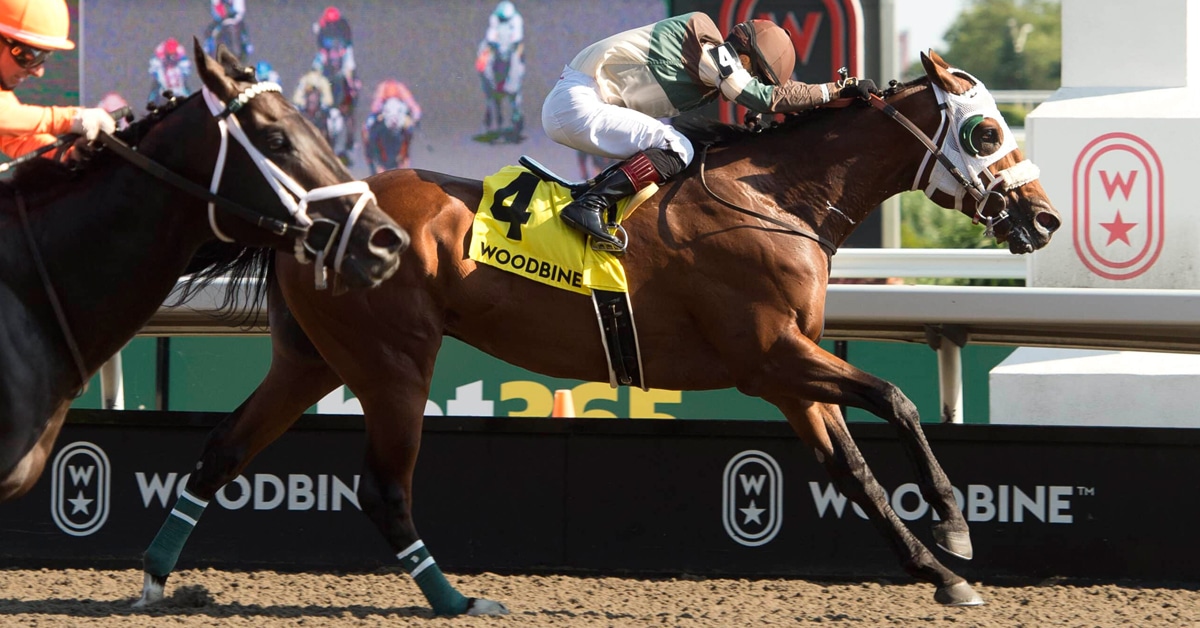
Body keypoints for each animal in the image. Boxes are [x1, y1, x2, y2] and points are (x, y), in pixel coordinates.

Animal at [133, 51, 1061, 613]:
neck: (775, 198)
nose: (1044, 218)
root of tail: (312, 211)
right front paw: (953, 526)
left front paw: (939, 574)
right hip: (393, 360)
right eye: (986, 129)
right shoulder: (769, 359)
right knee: (382, 488)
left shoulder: (791, 375)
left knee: (221, 451)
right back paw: (454, 600)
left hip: (314, 359)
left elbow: (857, 471)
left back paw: (151, 581)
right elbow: (897, 399)